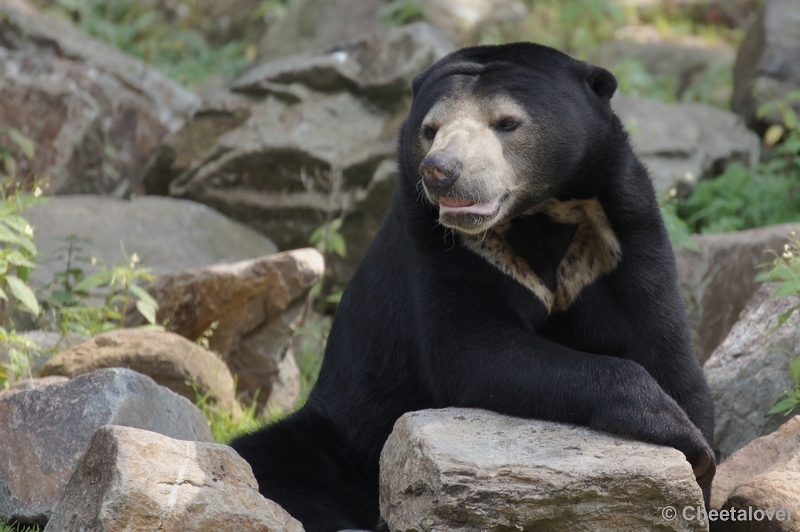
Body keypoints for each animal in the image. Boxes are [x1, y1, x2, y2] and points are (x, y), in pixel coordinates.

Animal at [228, 42, 716, 532]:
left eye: (507, 122)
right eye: (430, 129)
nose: (440, 170)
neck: (540, 214)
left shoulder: (620, 237)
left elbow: (666, 349)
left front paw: (699, 458)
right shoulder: (445, 248)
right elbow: (472, 349)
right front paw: (677, 429)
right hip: (343, 432)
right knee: (269, 462)